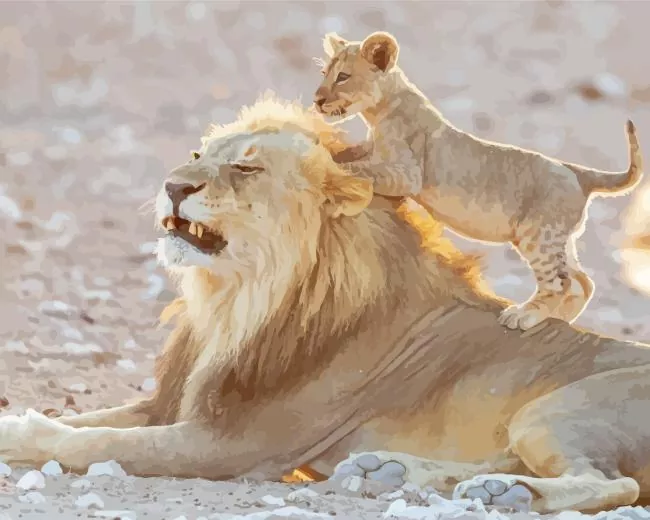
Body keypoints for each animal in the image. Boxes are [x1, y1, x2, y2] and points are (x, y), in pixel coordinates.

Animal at [2, 94, 650, 515]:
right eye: (197, 153)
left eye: (246, 166)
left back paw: (515, 496)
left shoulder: (232, 442)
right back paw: (402, 473)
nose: (174, 185)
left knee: (611, 485)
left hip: (552, 411)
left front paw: (26, 436)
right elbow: (92, 422)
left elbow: (92, 442)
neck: (236, 298)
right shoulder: (178, 405)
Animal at [313, 31, 644, 332]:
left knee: (560, 284)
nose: (317, 100)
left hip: (539, 236)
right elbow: (351, 155)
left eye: (343, 76)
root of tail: (577, 172)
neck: (380, 110)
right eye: (324, 73)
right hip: (559, 238)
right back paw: (560, 319)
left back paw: (524, 316)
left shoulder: (408, 174)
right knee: (584, 282)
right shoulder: (374, 151)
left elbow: (359, 169)